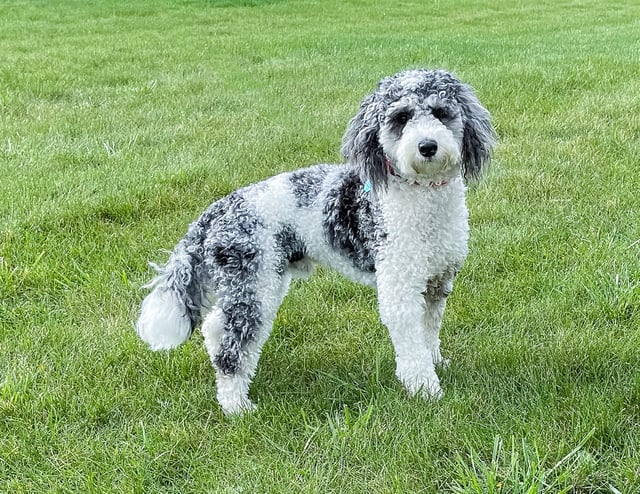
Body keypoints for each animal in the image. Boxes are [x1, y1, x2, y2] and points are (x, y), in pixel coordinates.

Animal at [134, 67, 496, 414]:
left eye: (441, 112)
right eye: (402, 117)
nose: (427, 146)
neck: (422, 197)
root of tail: (216, 211)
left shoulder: (437, 280)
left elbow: (429, 331)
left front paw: (437, 363)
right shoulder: (400, 286)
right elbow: (411, 343)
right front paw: (425, 389)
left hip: (256, 281)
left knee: (215, 325)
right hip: (254, 285)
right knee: (231, 349)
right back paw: (237, 407)